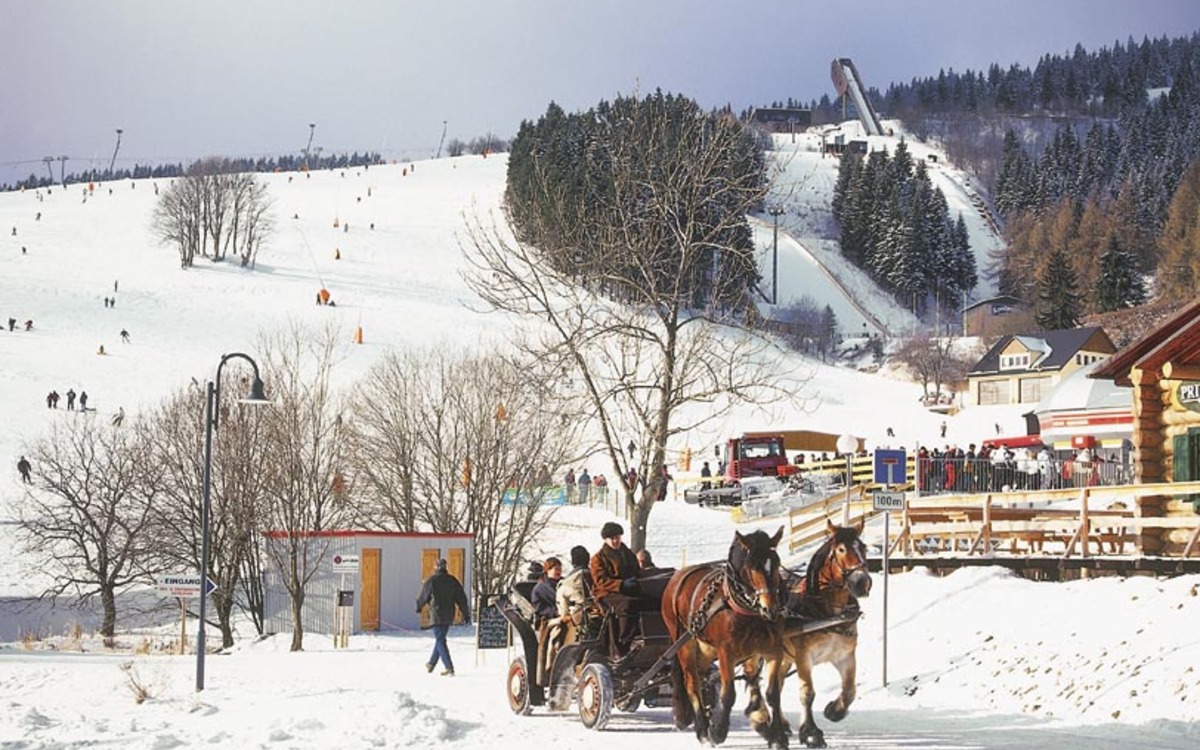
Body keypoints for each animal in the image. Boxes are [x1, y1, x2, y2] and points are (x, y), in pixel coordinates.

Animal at [661, 527, 786, 746]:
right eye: (752, 568)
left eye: (776, 563)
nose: (770, 609)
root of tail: (677, 577)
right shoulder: (726, 653)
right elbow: (728, 695)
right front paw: (718, 731)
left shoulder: (772, 650)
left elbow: (773, 694)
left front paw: (776, 735)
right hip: (685, 644)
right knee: (692, 683)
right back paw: (703, 730)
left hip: (706, 650)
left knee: (704, 678)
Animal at [744, 521, 872, 749]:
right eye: (841, 550)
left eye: (863, 548)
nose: (861, 583)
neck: (828, 613)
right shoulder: (804, 656)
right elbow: (807, 693)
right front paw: (811, 732)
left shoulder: (845, 655)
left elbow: (849, 691)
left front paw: (834, 711)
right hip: (756, 651)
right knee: (753, 679)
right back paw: (760, 719)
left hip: (784, 657)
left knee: (776, 685)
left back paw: (781, 723)